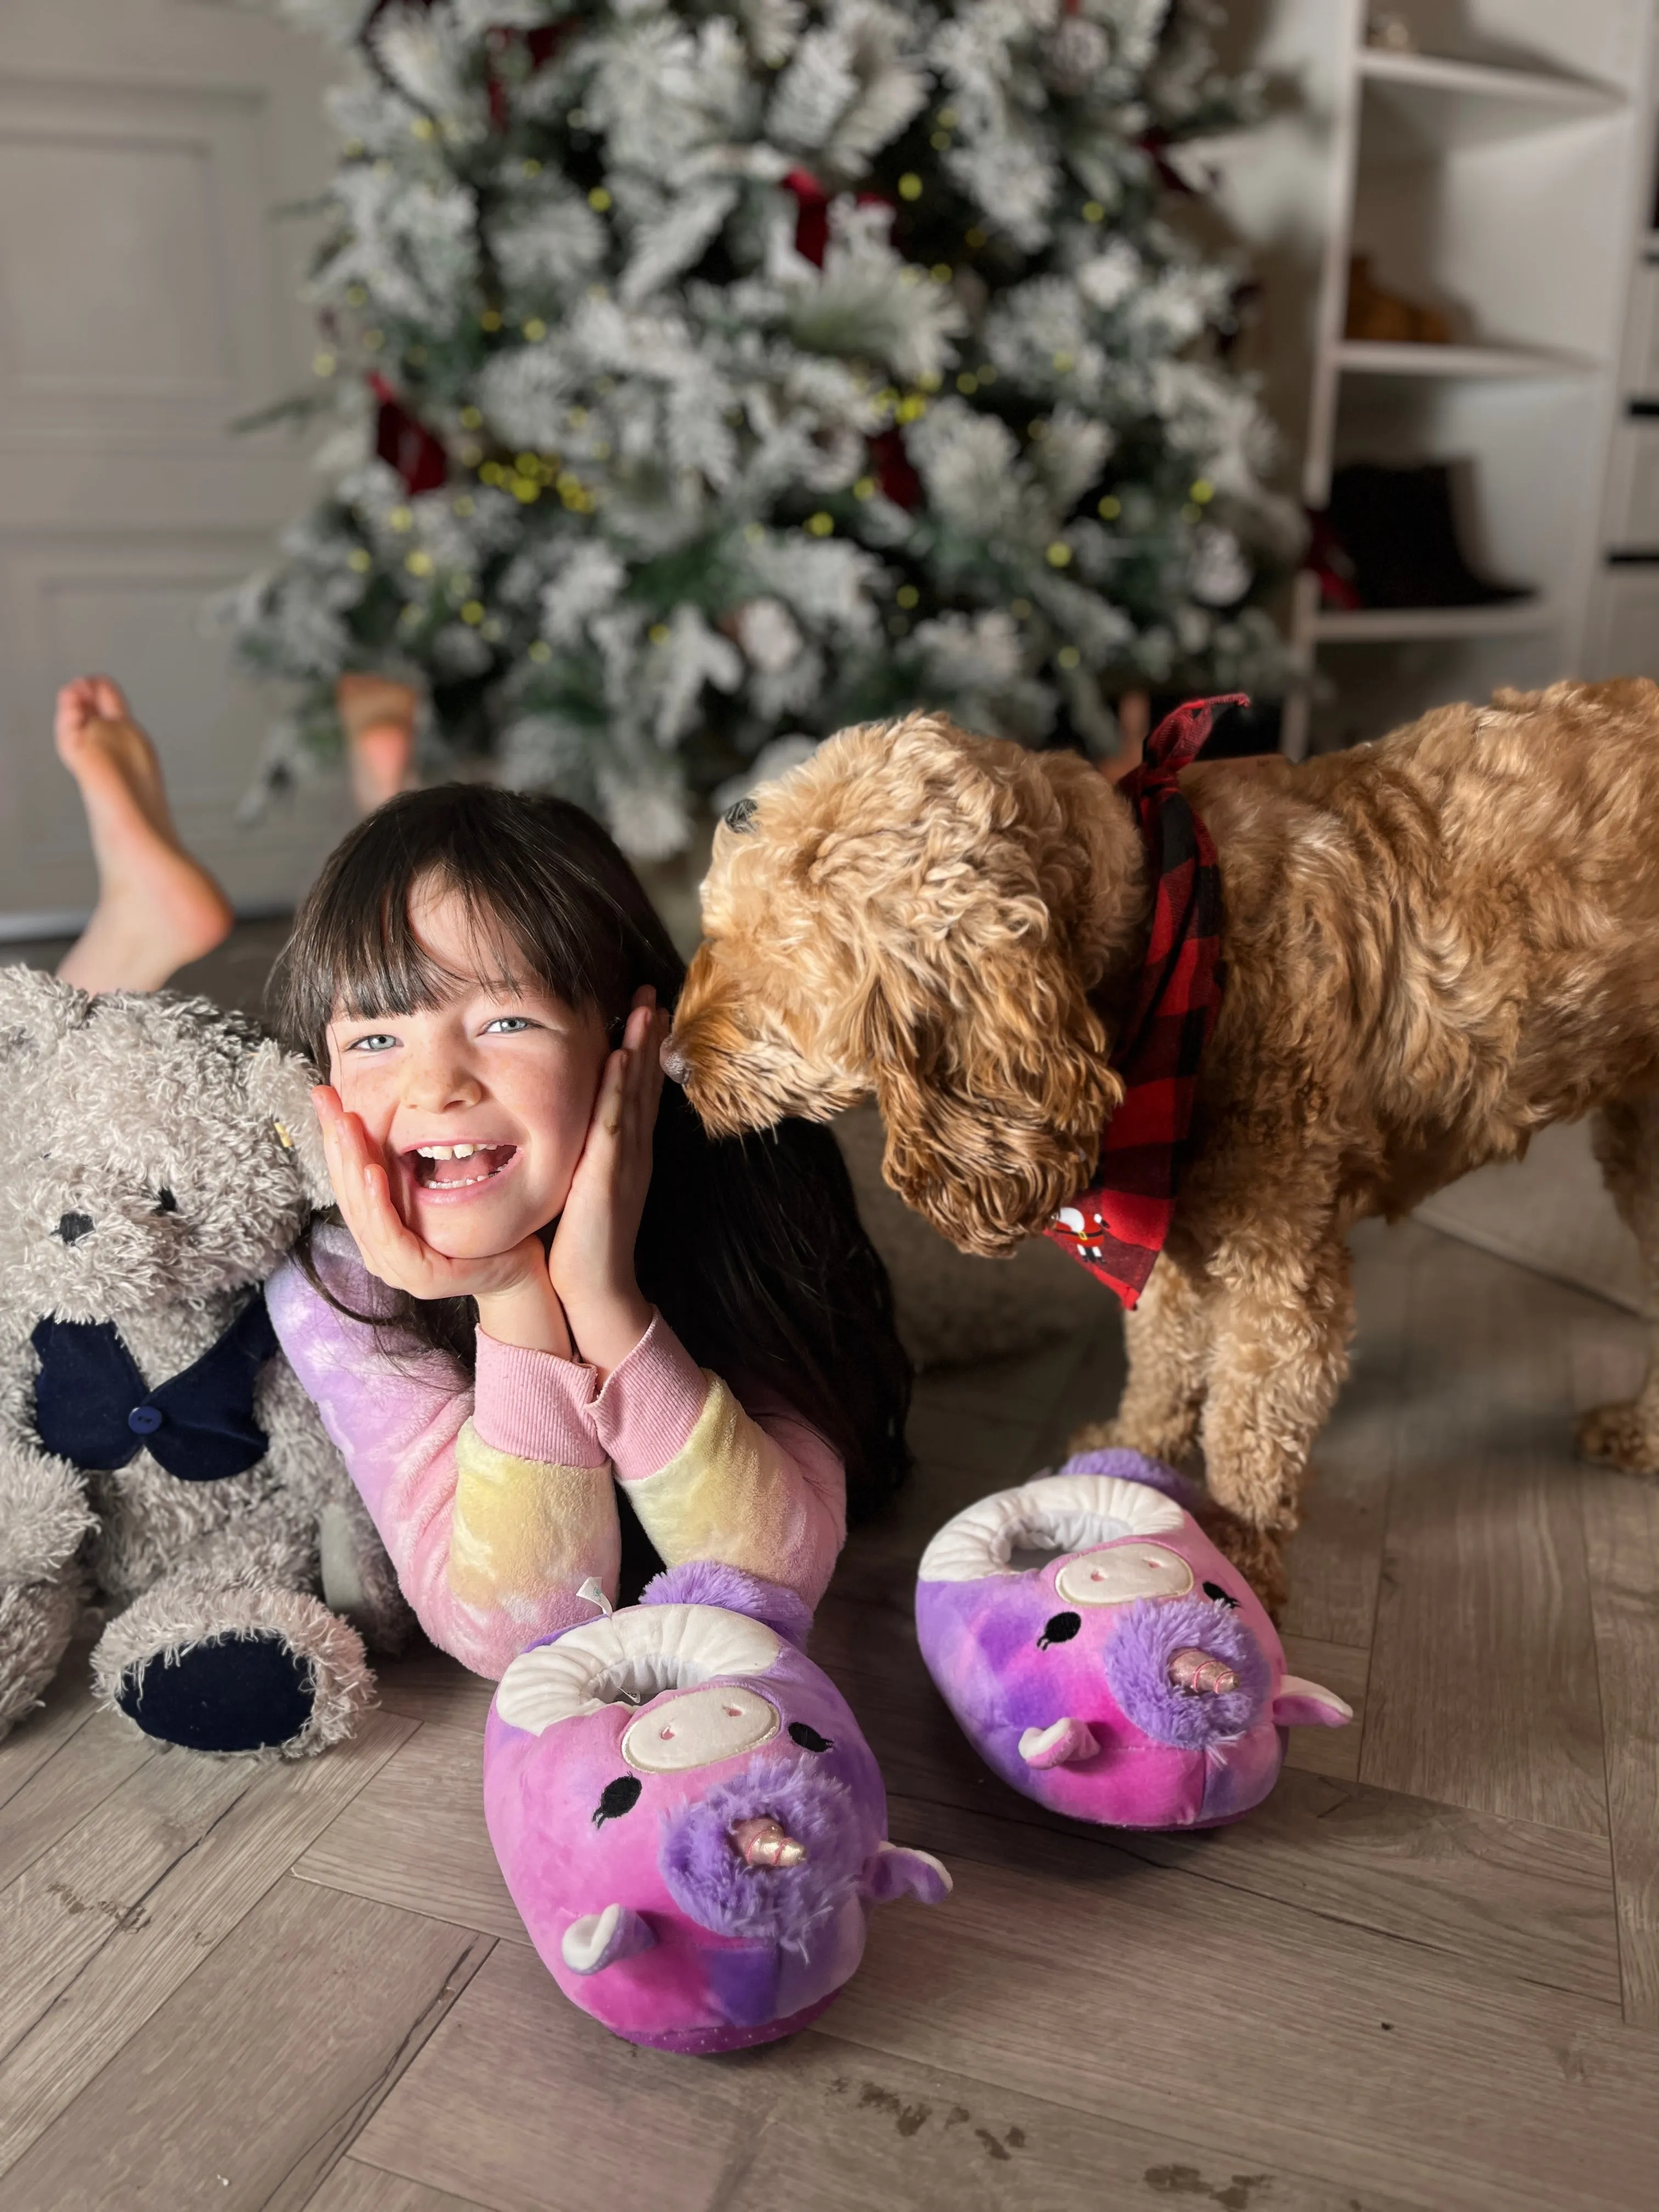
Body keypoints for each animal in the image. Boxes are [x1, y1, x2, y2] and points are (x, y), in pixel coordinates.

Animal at [668, 676, 1659, 1610]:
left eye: (779, 994)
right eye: (710, 933)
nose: (671, 1067)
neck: (1157, 937)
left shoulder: (1276, 1271)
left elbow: (1248, 1420)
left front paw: (1236, 1546)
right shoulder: (1171, 1232)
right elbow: (1161, 1360)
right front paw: (1126, 1467)